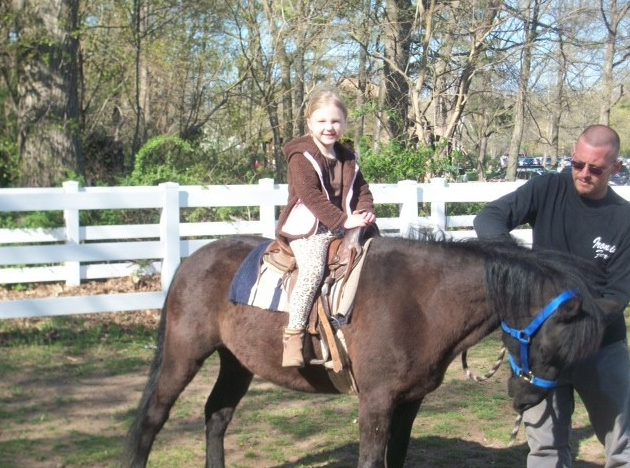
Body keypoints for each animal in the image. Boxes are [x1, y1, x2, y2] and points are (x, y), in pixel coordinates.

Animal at [123, 236, 616, 466]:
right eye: (551, 343)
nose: (526, 398)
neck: (422, 300)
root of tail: (189, 261)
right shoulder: (376, 401)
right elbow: (371, 459)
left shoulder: (409, 401)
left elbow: (395, 458)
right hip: (183, 356)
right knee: (151, 419)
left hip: (236, 362)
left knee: (217, 416)